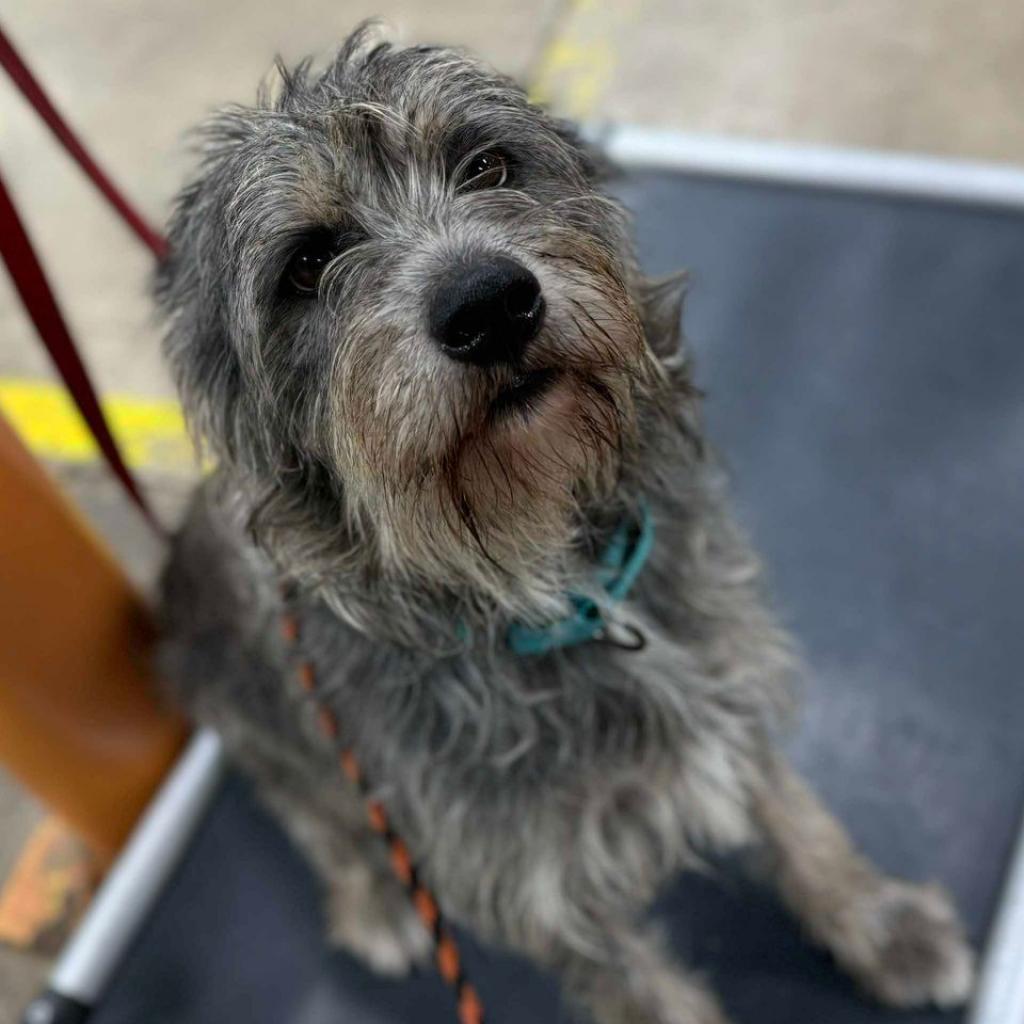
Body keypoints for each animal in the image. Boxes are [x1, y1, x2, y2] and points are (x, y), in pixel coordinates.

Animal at [157, 25, 974, 1024]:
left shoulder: (729, 681)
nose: (488, 303)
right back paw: (374, 898)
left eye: (487, 164)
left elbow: (799, 821)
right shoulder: (542, 891)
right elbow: (643, 990)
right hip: (249, 719)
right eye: (306, 265)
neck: (553, 583)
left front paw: (880, 922)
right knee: (317, 815)